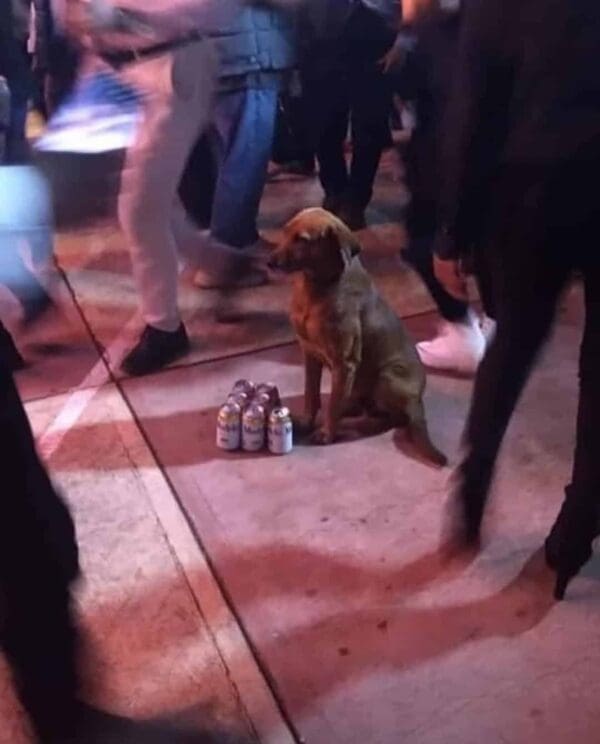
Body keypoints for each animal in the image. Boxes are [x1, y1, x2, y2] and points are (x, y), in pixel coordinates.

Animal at [269, 208, 447, 466]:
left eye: (302, 240)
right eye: (284, 232)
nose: (269, 262)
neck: (317, 285)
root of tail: (418, 401)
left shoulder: (345, 361)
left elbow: (332, 405)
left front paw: (327, 433)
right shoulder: (310, 353)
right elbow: (311, 394)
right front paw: (307, 421)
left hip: (387, 376)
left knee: (391, 418)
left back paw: (358, 422)